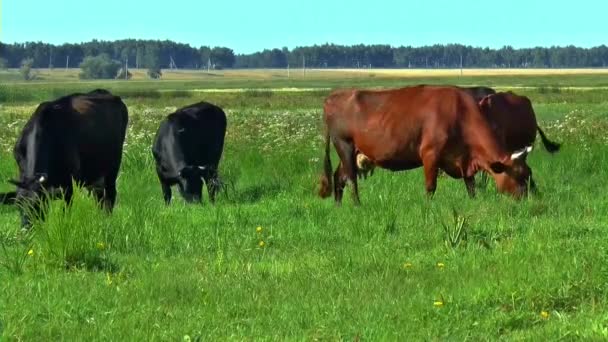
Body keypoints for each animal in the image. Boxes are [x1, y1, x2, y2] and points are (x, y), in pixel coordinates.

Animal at [8, 89, 129, 226]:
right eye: (18, 205)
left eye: (37, 204)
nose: (27, 227)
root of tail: (103, 92)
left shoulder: (68, 185)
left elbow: (66, 211)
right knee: (99, 197)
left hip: (111, 171)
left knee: (109, 197)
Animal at [318, 84, 532, 204]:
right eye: (520, 176)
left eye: (529, 173)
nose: (529, 200)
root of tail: (332, 97)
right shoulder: (430, 154)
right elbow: (431, 187)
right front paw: (428, 209)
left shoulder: (464, 158)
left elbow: (470, 185)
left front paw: (474, 203)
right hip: (344, 145)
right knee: (351, 179)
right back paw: (357, 205)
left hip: (353, 151)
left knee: (338, 177)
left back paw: (338, 206)